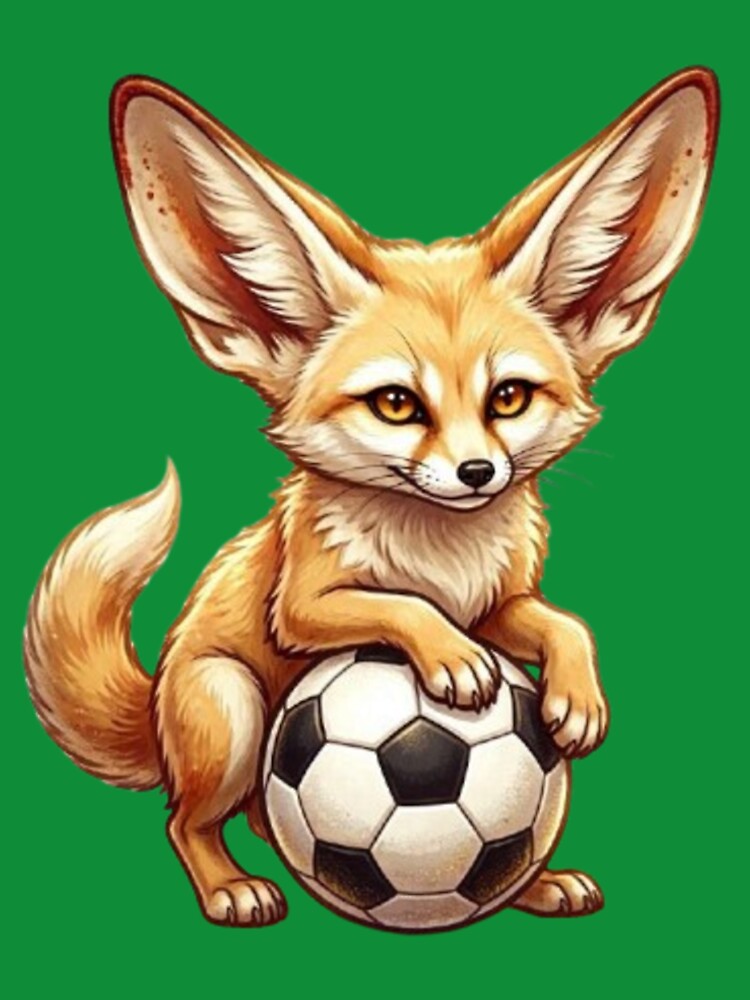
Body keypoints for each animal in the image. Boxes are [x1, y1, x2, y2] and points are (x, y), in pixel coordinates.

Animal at [24, 68, 718, 927]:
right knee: (188, 821)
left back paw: (536, 883)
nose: (478, 472)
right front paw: (450, 656)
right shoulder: (303, 609)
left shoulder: (497, 604)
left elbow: (564, 622)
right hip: (232, 707)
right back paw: (229, 887)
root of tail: (155, 706)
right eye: (396, 405)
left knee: (268, 822)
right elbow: (396, 606)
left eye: (508, 398)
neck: (442, 558)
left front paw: (576, 693)